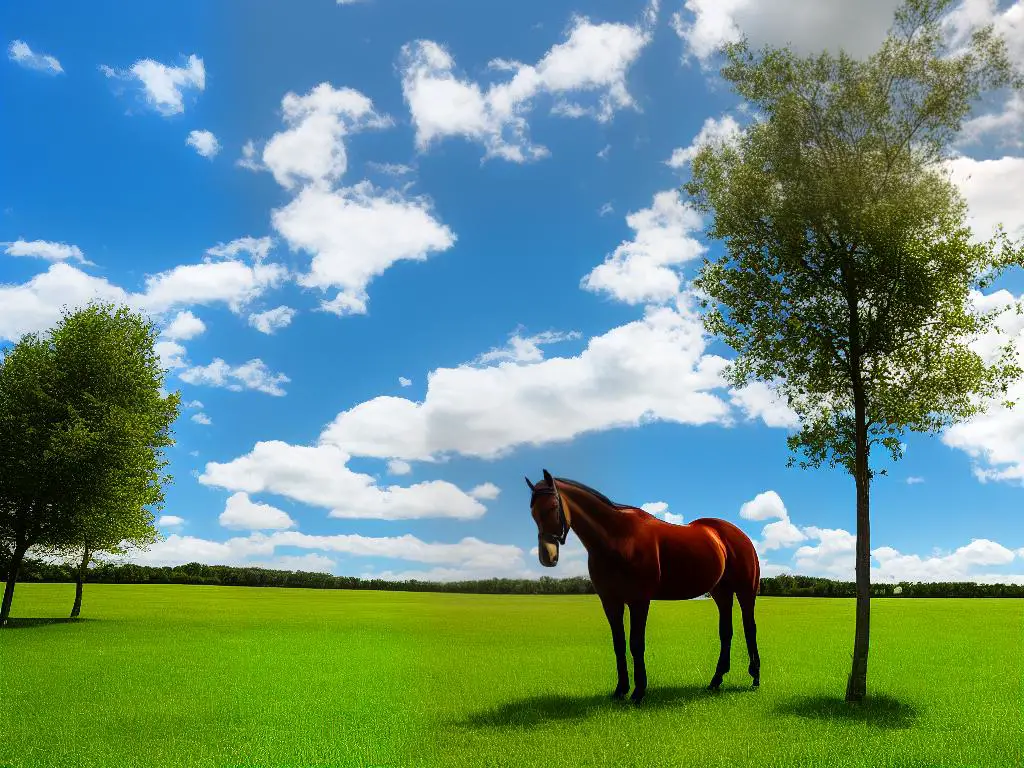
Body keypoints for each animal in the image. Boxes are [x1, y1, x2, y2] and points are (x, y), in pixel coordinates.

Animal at [528, 468, 761, 704]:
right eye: (533, 512)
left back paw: (755, 677)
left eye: (553, 506)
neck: (619, 538)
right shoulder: (610, 602)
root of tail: (736, 534)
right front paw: (620, 690)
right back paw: (716, 680)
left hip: (746, 591)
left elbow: (636, 644)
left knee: (750, 627)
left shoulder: (639, 600)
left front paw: (638, 692)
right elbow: (619, 644)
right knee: (726, 632)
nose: (547, 556)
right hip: (721, 593)